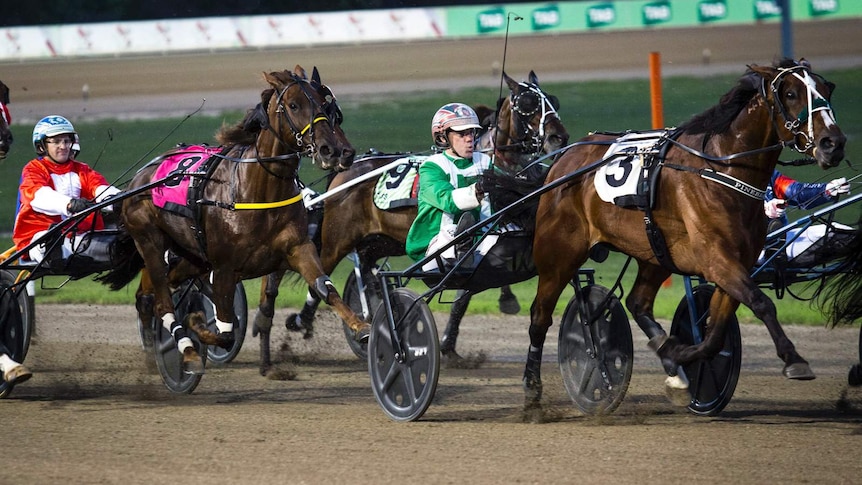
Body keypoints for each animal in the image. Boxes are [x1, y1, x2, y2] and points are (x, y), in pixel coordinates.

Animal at [98, 66, 368, 372]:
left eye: (325, 104)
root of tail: (139, 179)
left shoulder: (298, 248)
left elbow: (324, 287)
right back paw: (187, 350)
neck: (255, 190)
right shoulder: (225, 267)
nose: (333, 150)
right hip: (150, 241)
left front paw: (362, 327)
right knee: (162, 301)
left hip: (193, 257)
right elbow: (226, 331)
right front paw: (197, 324)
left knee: (153, 292)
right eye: (294, 105)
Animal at [253, 69, 572, 370]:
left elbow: (468, 290)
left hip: (379, 242)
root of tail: (345, 171)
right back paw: (302, 319)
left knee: (364, 272)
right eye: (528, 104)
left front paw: (452, 341)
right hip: (339, 238)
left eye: (553, 101)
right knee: (320, 271)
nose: (559, 137)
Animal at [524, 58, 848, 410]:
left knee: (638, 303)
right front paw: (793, 359)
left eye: (828, 87)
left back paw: (670, 364)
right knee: (540, 317)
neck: (720, 170)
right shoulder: (716, 259)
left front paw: (680, 356)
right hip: (559, 254)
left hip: (654, 252)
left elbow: (714, 333)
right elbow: (761, 303)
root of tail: (562, 161)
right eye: (790, 93)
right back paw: (532, 387)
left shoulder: (736, 264)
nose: (833, 143)